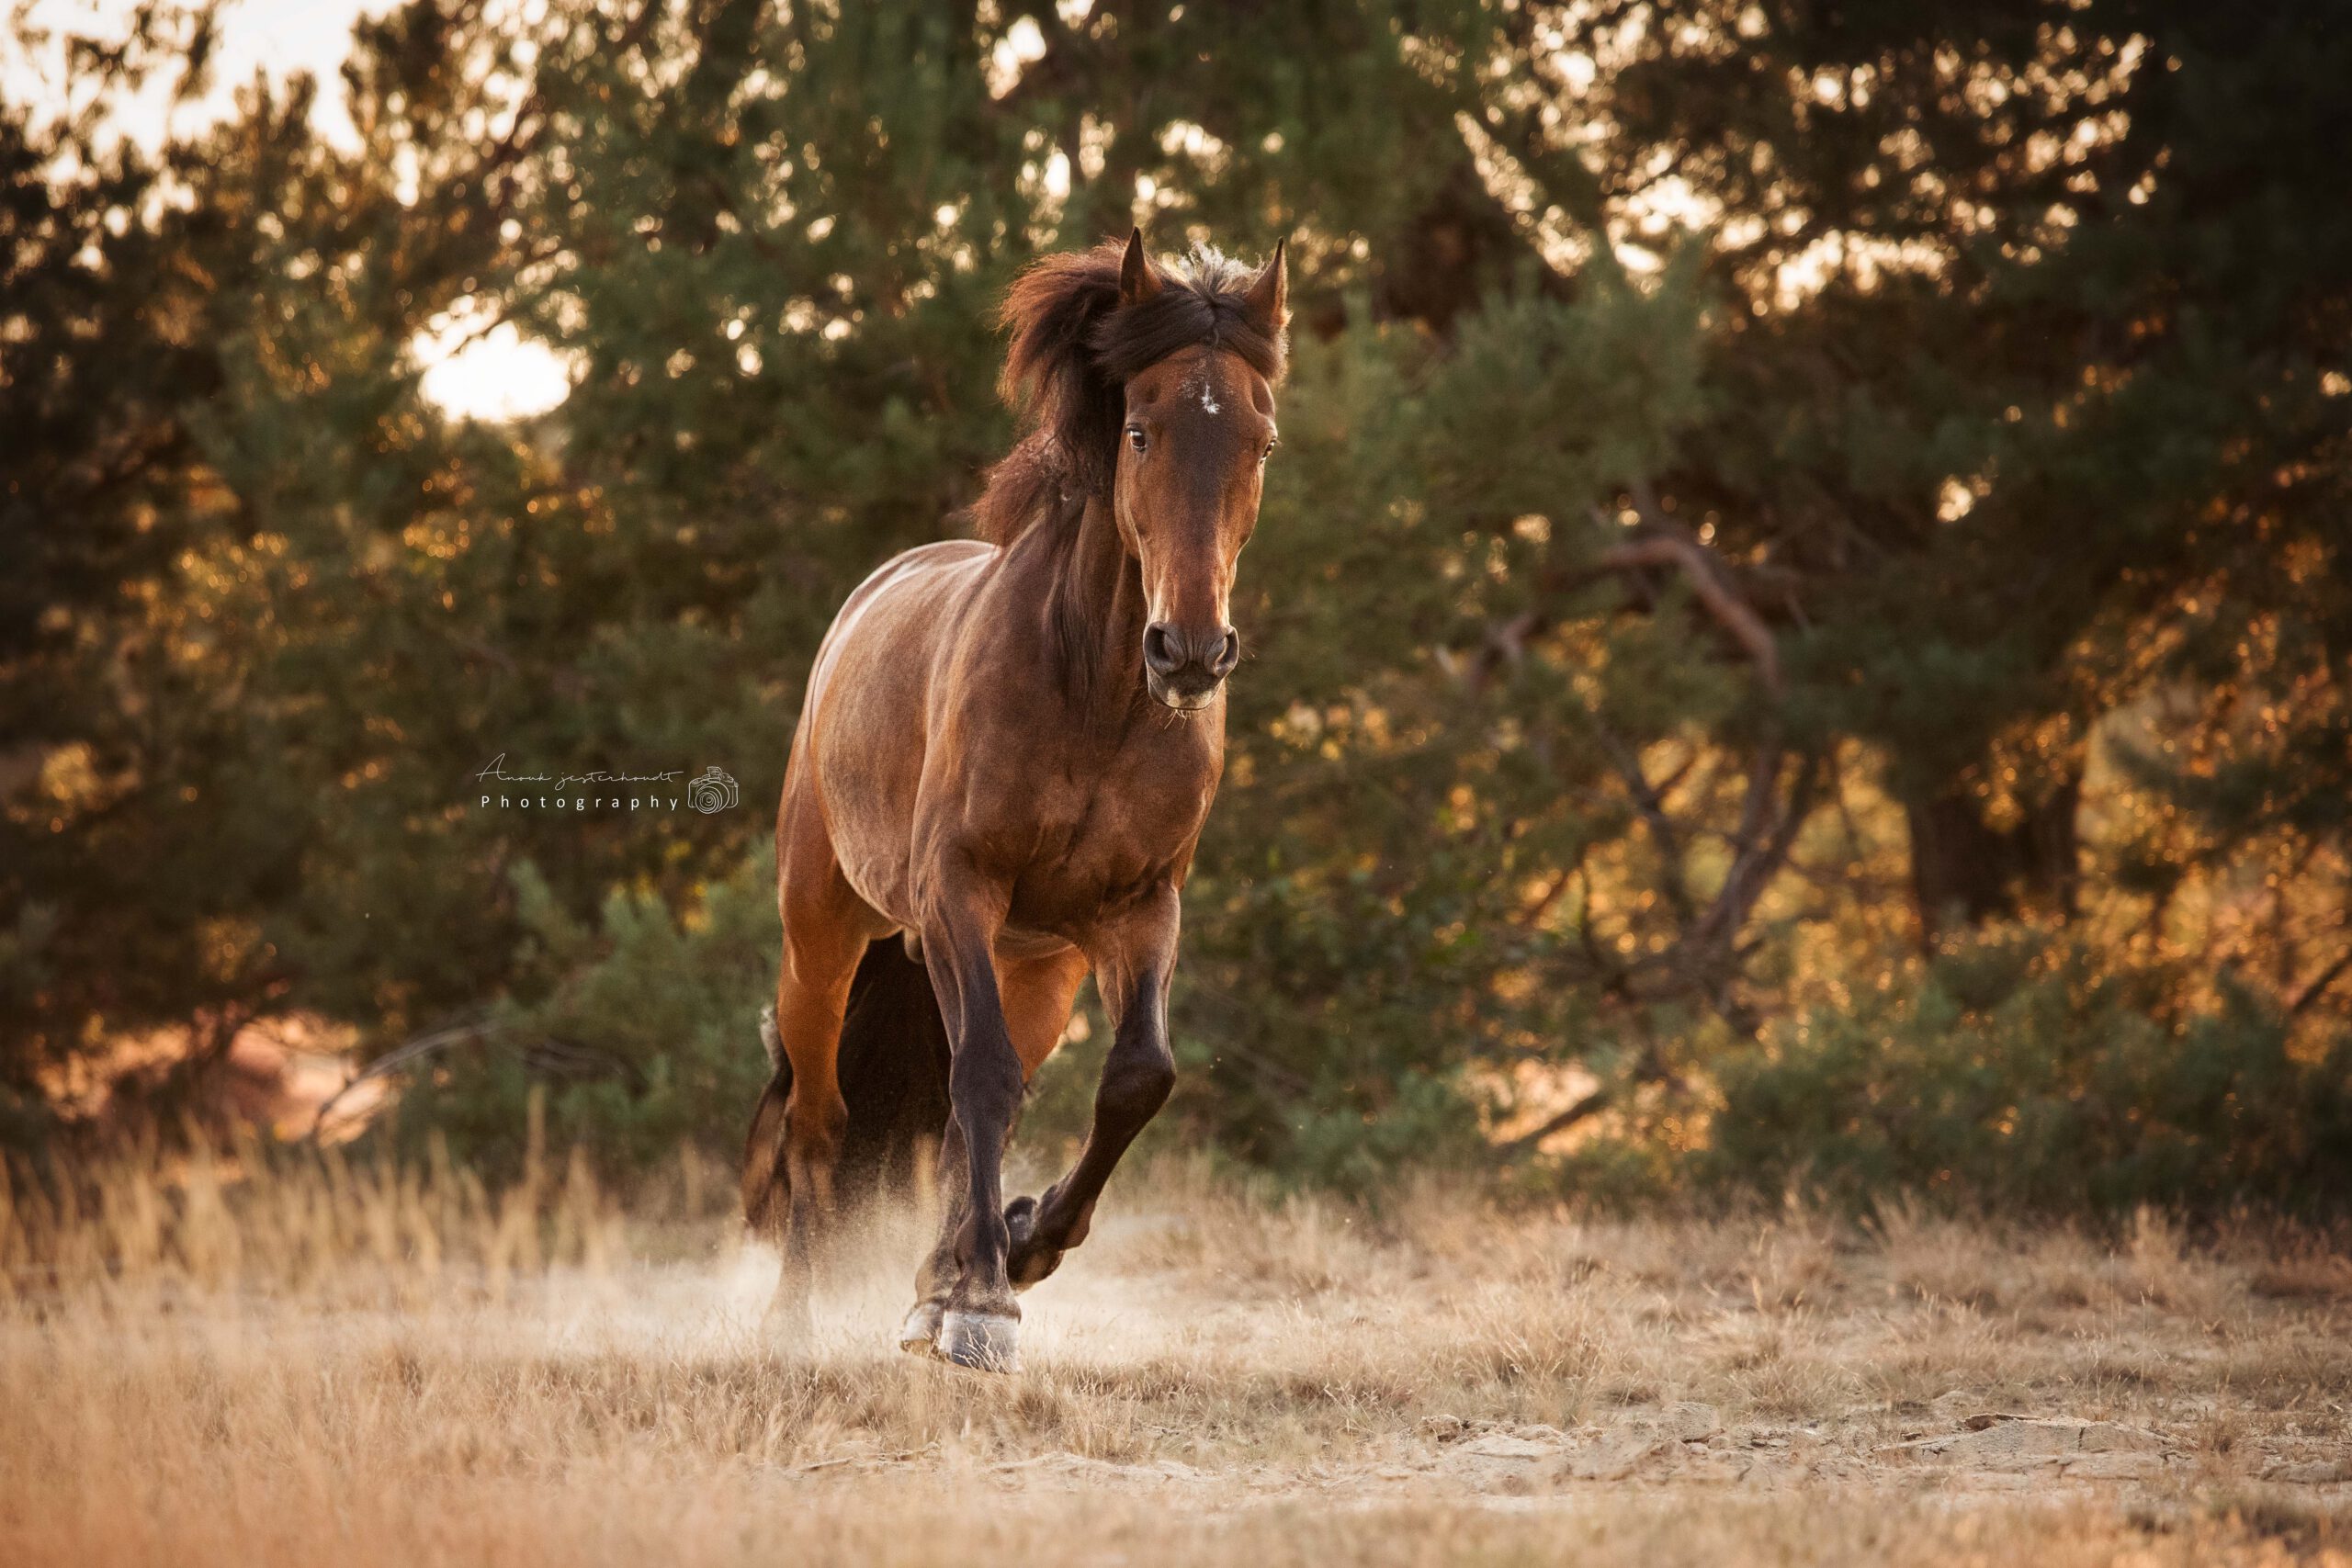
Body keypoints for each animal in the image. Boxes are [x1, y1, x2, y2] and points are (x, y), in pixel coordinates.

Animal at [739, 230, 1287, 1370]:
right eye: (1138, 431)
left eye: (1260, 442)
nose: (1190, 652)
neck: (1094, 695)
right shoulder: (960, 890)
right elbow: (982, 1077)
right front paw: (986, 1304)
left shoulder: (1138, 910)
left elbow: (1136, 1079)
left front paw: (1020, 1249)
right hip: (825, 936)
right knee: (820, 1117)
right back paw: (798, 1319)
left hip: (1038, 967)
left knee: (959, 1117)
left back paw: (936, 1281)